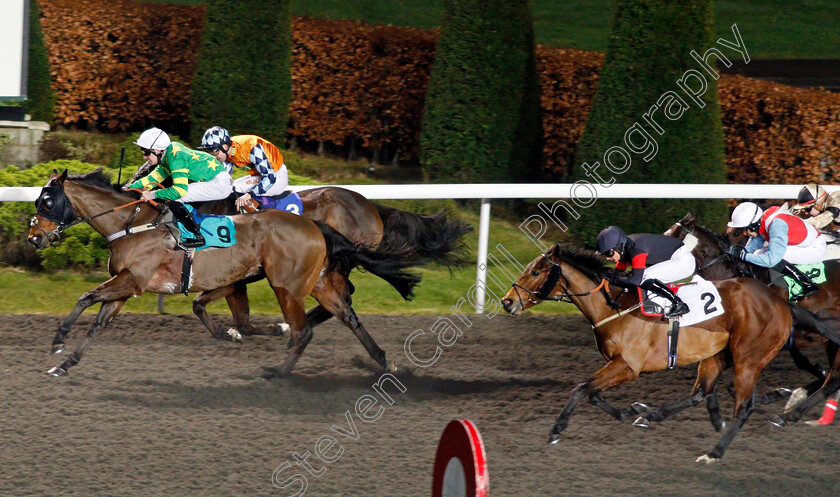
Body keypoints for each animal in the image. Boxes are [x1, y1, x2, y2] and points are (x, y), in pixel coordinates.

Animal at [27, 170, 420, 376]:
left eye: (47, 201)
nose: (33, 237)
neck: (132, 223)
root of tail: (314, 225)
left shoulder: (132, 280)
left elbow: (86, 297)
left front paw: (58, 340)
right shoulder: (128, 286)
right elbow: (99, 322)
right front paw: (67, 363)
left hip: (286, 285)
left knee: (306, 328)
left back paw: (280, 372)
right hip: (317, 282)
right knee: (347, 315)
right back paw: (383, 361)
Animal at [498, 244, 840, 462]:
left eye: (536, 272)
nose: (506, 302)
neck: (613, 307)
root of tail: (782, 303)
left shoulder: (628, 366)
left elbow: (581, 388)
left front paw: (556, 431)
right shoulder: (618, 365)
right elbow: (592, 392)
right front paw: (629, 412)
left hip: (748, 358)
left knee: (744, 406)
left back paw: (715, 451)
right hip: (717, 354)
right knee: (702, 391)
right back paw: (652, 415)